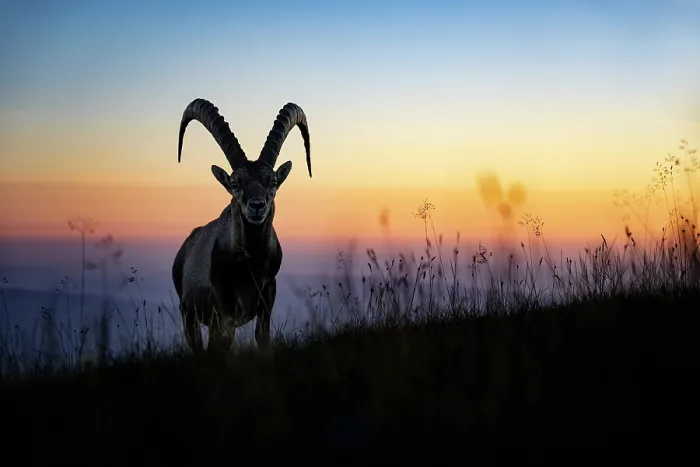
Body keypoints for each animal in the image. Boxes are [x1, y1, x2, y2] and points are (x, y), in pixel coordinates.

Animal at [172, 98, 312, 354]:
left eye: (272, 182)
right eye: (235, 183)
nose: (257, 206)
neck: (250, 265)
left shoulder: (267, 296)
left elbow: (262, 338)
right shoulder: (222, 308)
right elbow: (220, 344)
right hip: (188, 312)